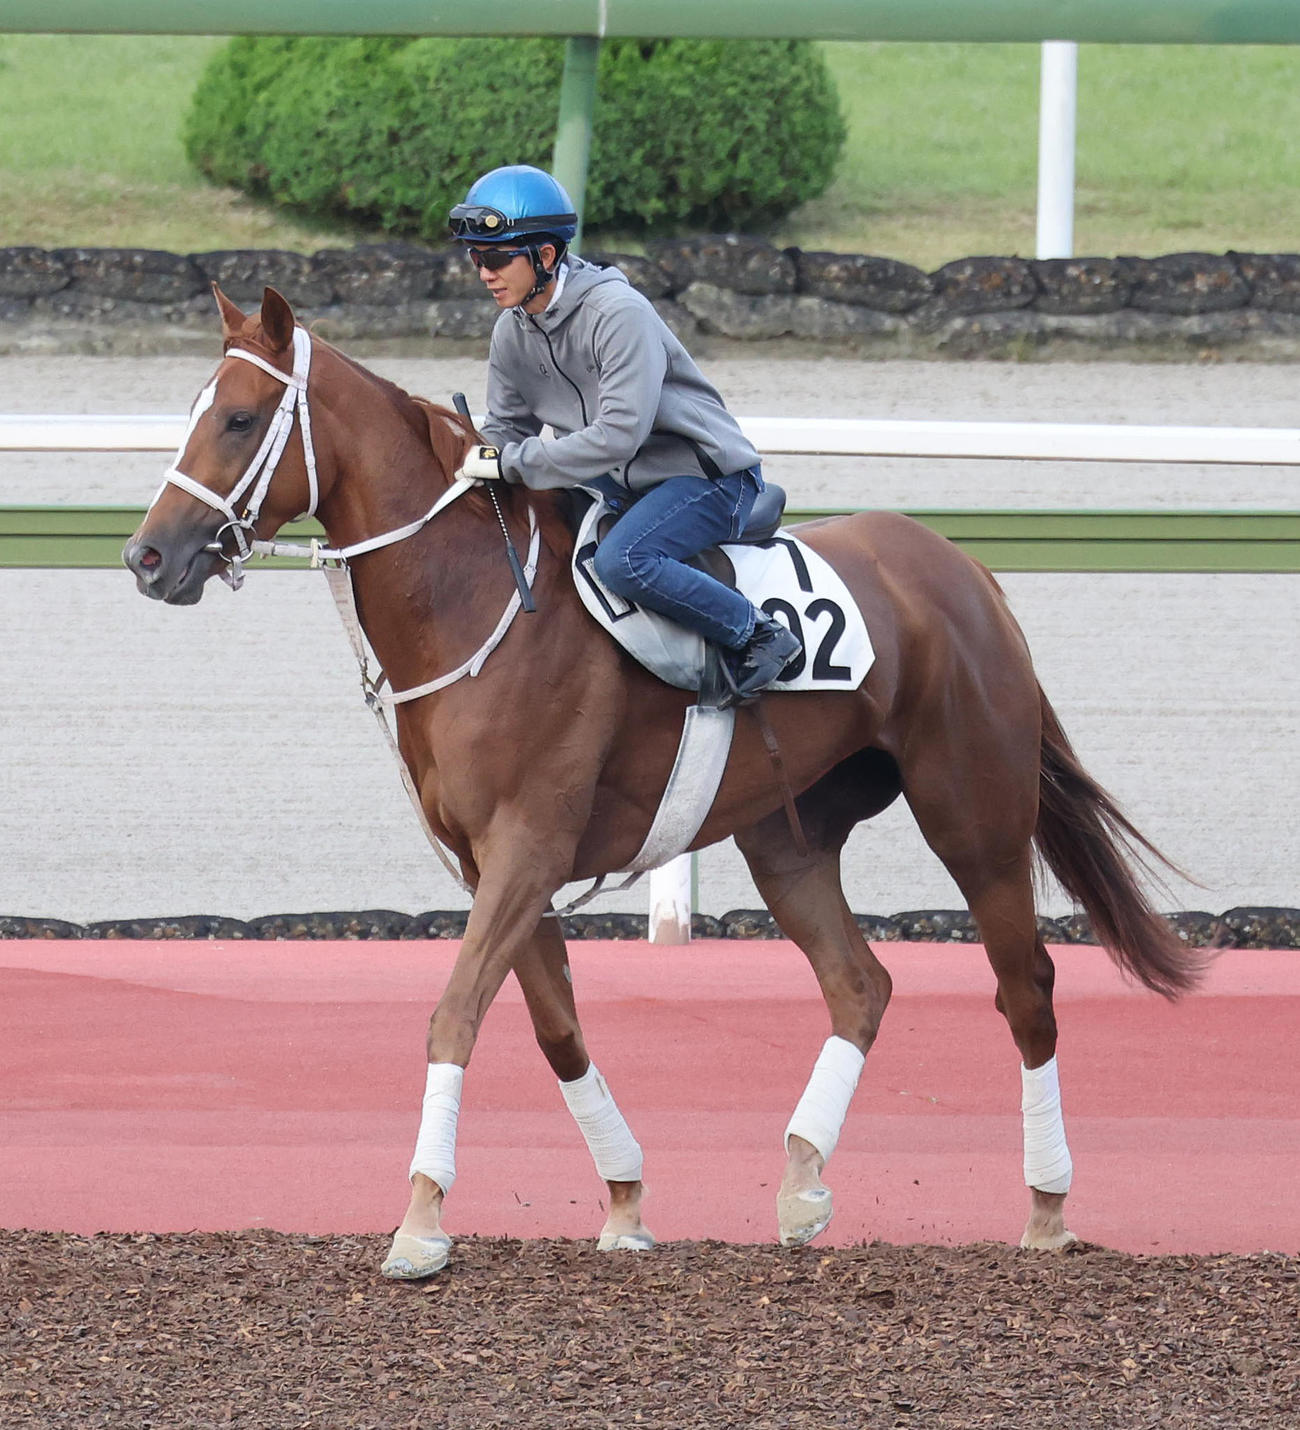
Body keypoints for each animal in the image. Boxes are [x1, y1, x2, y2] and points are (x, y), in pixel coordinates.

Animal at [123, 287, 1202, 1279]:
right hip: (788, 836)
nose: (148, 555)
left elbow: (457, 1012)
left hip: (973, 811)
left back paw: (1047, 1207)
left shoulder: (528, 845)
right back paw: (802, 1180)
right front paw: (624, 1200)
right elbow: (556, 1029)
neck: (475, 600)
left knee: (1026, 987)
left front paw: (422, 1215)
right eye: (197, 407)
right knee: (861, 983)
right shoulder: (491, 863)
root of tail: (966, 571)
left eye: (240, 418)